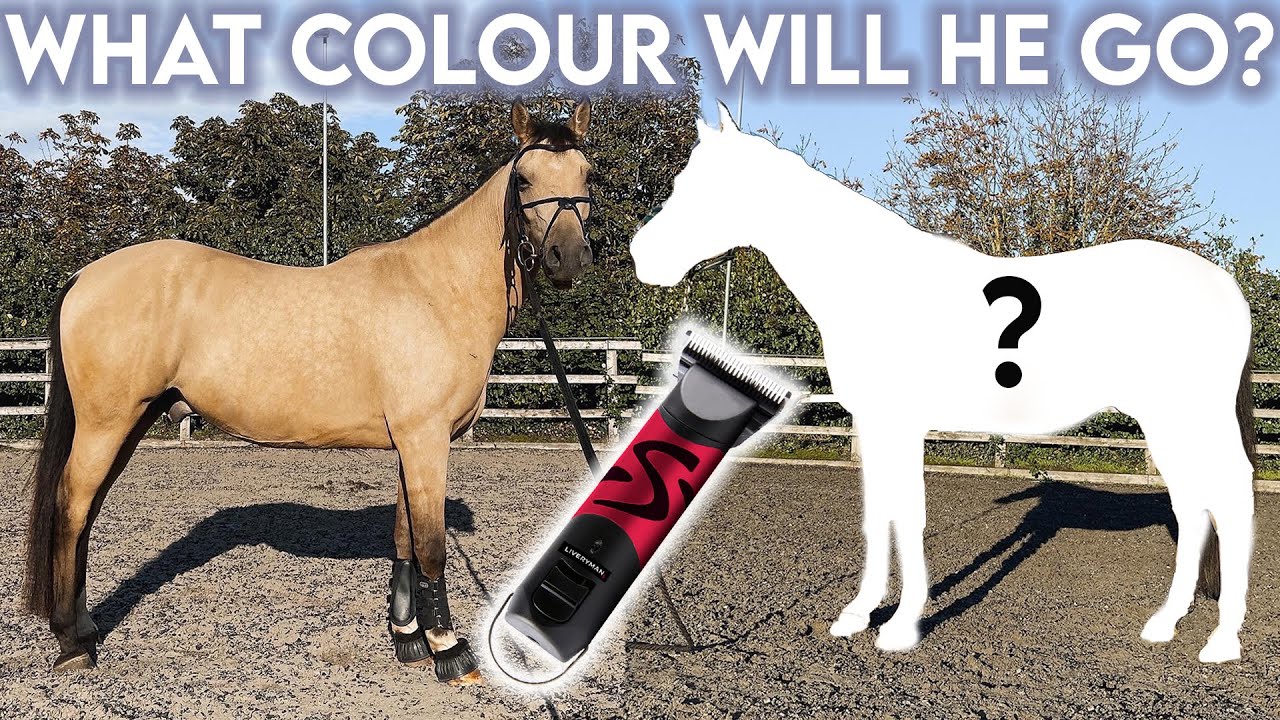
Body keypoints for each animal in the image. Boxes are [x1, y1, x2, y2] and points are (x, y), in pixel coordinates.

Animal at [23, 100, 598, 681]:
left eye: (587, 174)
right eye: (523, 179)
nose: (568, 258)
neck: (437, 292)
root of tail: (83, 277)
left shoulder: (412, 444)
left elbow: (404, 536)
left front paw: (407, 638)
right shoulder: (426, 440)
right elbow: (432, 545)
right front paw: (448, 649)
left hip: (129, 422)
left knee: (88, 511)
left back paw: (85, 627)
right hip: (106, 423)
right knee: (72, 507)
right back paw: (73, 642)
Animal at [629, 102, 1255, 664]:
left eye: (698, 184)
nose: (642, 255)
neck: (876, 284)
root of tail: (1222, 284)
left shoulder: (902, 423)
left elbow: (908, 513)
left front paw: (901, 627)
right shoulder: (875, 423)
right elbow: (878, 512)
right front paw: (858, 614)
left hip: (1188, 417)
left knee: (1230, 497)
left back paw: (1221, 642)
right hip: (1168, 424)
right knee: (1194, 508)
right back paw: (1165, 624)